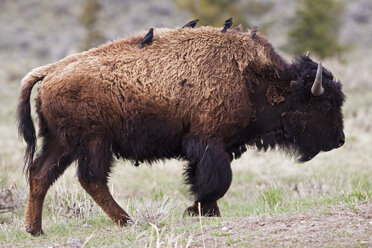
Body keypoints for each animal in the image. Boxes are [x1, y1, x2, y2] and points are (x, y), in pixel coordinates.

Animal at [16, 26, 344, 235]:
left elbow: (206, 179)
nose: (340, 140)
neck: (257, 80)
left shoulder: (212, 148)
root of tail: (50, 71)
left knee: (41, 174)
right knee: (91, 178)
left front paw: (207, 211)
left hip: (61, 143)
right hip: (94, 143)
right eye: (327, 103)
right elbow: (218, 180)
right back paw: (126, 221)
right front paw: (197, 209)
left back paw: (35, 229)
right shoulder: (209, 142)